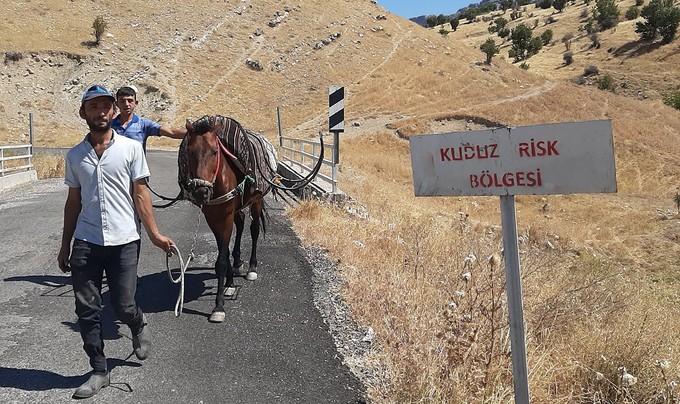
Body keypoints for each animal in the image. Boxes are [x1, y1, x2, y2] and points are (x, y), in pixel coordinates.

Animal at [181, 115, 324, 324]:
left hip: (255, 201)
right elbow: (223, 252)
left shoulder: (225, 216)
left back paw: (251, 268)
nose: (201, 192)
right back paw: (238, 264)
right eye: (189, 152)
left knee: (254, 230)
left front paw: (219, 305)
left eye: (215, 152)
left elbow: (221, 260)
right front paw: (230, 283)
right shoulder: (212, 217)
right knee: (240, 224)